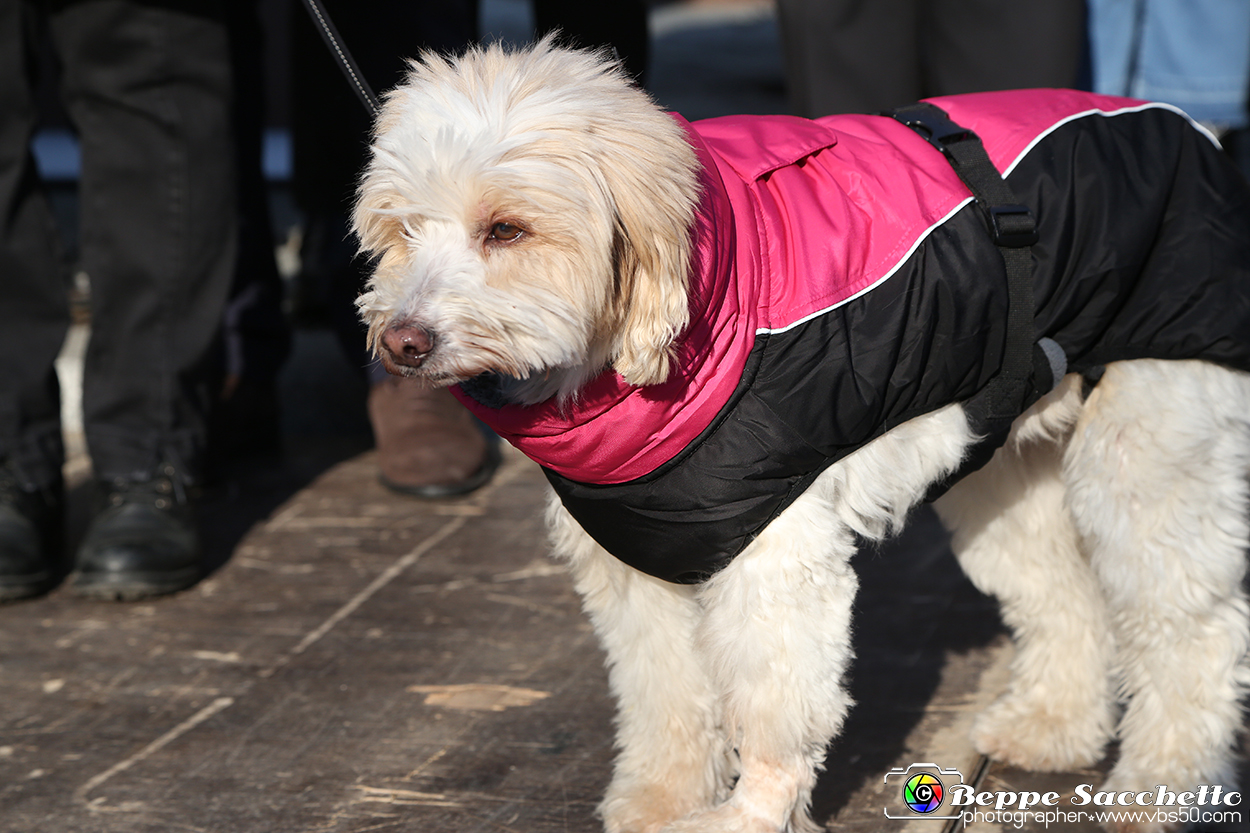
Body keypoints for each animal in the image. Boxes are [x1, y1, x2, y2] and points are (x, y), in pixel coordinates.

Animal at [352, 40, 1250, 830]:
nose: (402, 342)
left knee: (1193, 632)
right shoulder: (637, 565)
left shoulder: (772, 558)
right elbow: (664, 696)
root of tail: (1190, 130)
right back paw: (1054, 729)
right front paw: (660, 801)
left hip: (1146, 460)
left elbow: (775, 704)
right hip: (1006, 473)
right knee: (1065, 598)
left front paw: (748, 815)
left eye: (505, 229)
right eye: (402, 230)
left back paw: (1157, 790)